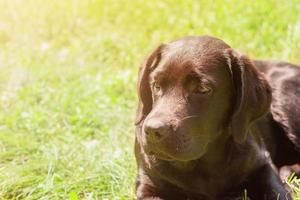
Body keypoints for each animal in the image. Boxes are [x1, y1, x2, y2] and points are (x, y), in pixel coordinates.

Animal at [134, 36, 300, 200]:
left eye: (202, 89)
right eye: (156, 85)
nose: (153, 130)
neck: (204, 163)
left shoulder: (262, 164)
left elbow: (277, 192)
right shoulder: (149, 184)